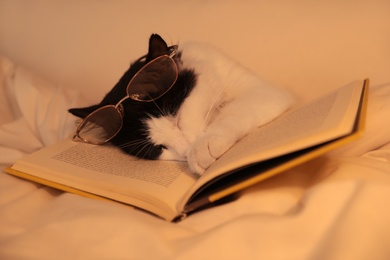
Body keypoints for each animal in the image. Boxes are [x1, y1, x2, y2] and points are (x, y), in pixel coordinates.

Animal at [68, 33, 294, 175]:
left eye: (176, 118)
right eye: (157, 148)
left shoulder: (263, 91)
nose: (186, 151)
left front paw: (204, 146)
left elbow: (232, 111)